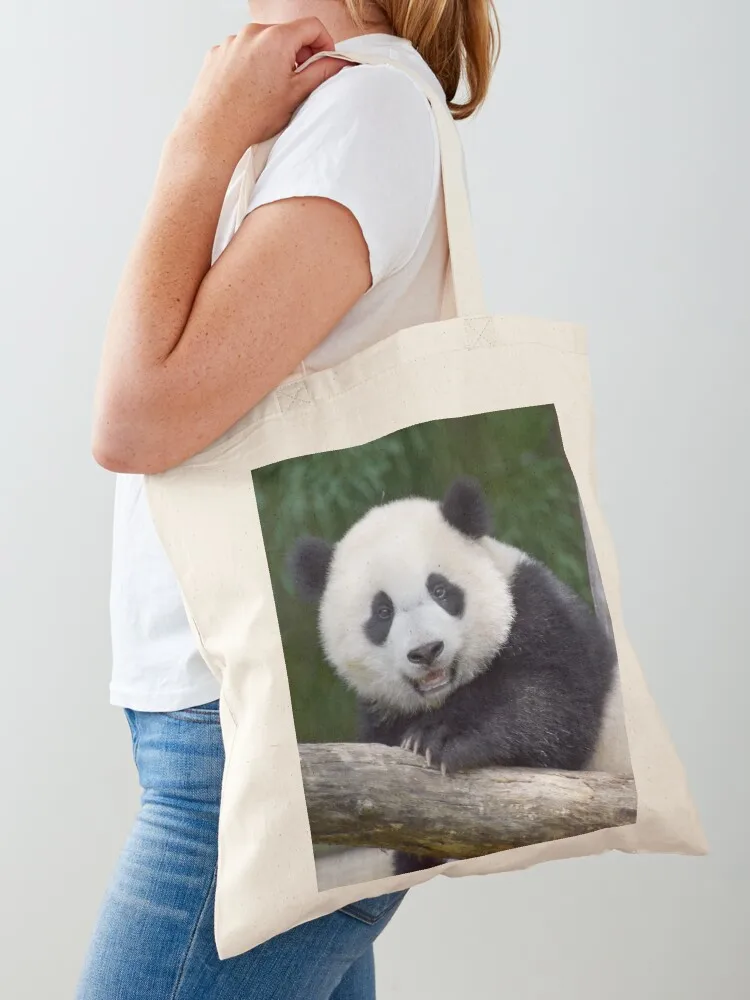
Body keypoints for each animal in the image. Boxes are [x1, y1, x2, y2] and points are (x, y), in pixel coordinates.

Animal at [289, 476, 630, 881]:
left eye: (440, 590)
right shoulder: (383, 714)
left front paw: (443, 737)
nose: (426, 651)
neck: (446, 693)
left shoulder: (544, 616)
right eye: (382, 612)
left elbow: (553, 709)